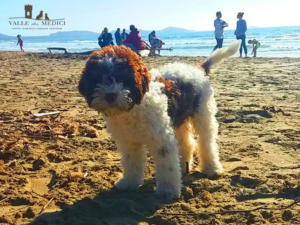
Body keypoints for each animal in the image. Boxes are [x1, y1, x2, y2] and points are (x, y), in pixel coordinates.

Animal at [78, 41, 240, 198]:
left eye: (124, 78)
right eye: (98, 78)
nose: (110, 95)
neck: (134, 108)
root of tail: (197, 69)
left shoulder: (162, 140)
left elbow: (167, 166)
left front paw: (167, 190)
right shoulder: (129, 142)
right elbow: (131, 162)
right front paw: (129, 183)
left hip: (202, 115)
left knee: (206, 143)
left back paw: (212, 168)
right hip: (178, 121)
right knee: (187, 143)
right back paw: (183, 166)